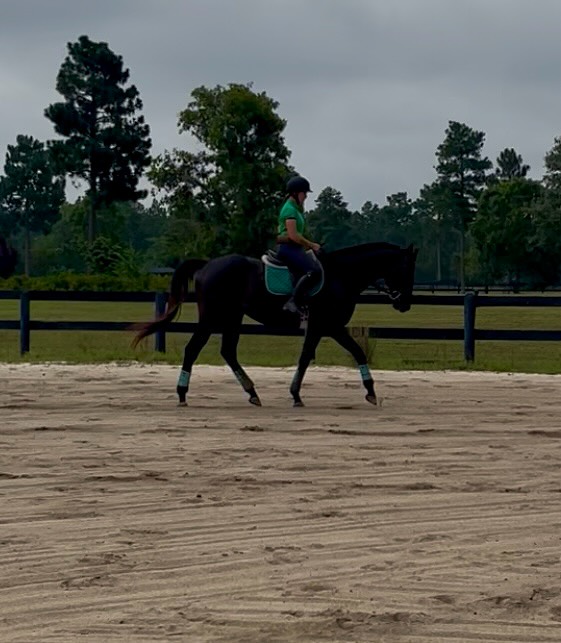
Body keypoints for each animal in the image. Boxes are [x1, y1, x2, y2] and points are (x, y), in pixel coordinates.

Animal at [132, 241, 418, 407]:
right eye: (406, 270)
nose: (405, 303)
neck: (341, 275)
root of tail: (207, 265)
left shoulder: (322, 327)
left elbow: (310, 356)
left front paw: (296, 394)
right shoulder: (328, 325)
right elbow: (351, 352)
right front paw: (370, 391)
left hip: (233, 317)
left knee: (228, 351)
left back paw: (252, 393)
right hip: (213, 317)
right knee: (193, 349)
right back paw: (182, 394)